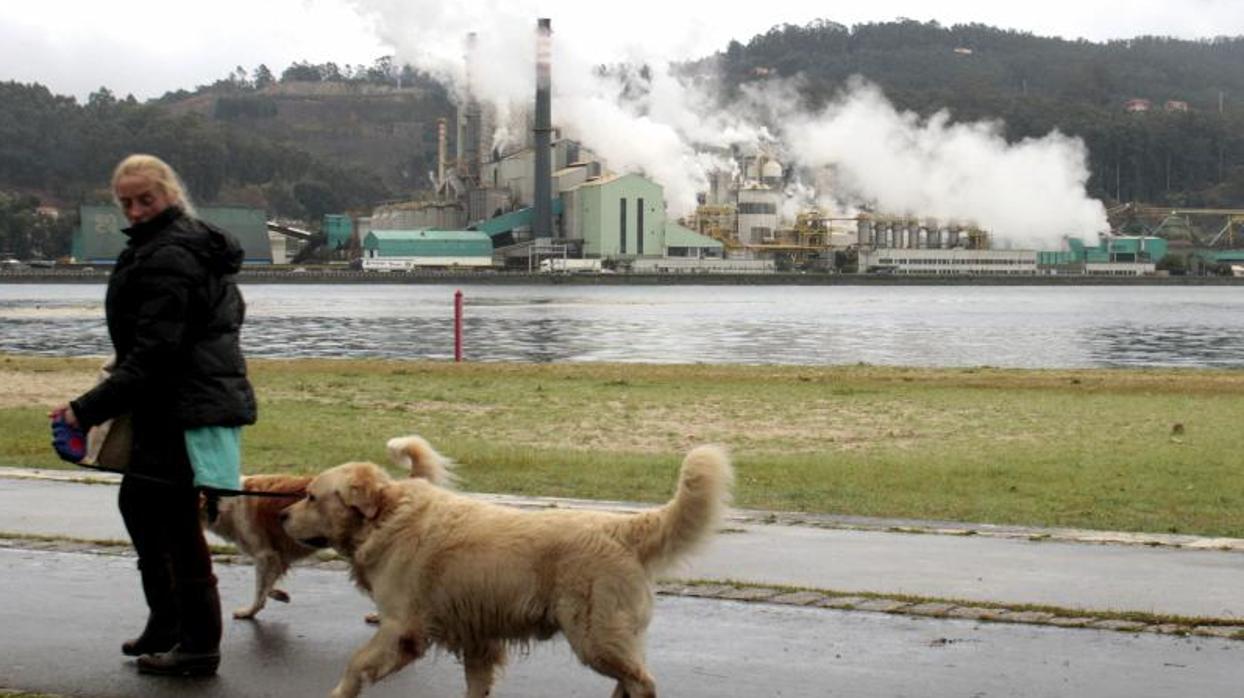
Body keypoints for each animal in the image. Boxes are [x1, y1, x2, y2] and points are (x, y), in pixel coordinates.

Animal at [206, 435, 455, 619]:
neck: (222, 501)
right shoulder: (275, 557)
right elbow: (269, 586)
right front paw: (279, 594)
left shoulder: (265, 554)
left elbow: (260, 590)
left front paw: (249, 611)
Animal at [279, 440, 736, 696]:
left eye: (312, 496)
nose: (282, 515)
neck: (386, 517)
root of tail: (620, 527)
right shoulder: (477, 638)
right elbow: (476, 687)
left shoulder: (401, 628)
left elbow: (356, 666)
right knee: (631, 680)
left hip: (595, 636)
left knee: (642, 682)